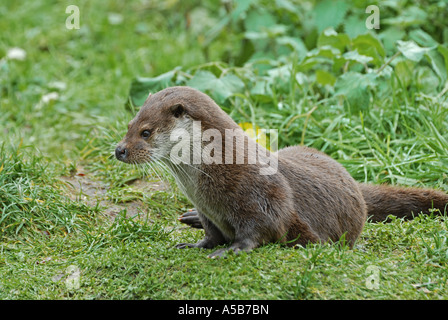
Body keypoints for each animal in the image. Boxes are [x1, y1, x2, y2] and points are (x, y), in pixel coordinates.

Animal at [115, 86, 448, 258]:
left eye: (145, 132)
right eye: (130, 124)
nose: (119, 150)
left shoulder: (261, 196)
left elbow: (266, 227)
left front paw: (233, 249)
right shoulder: (210, 211)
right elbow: (211, 234)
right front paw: (196, 242)